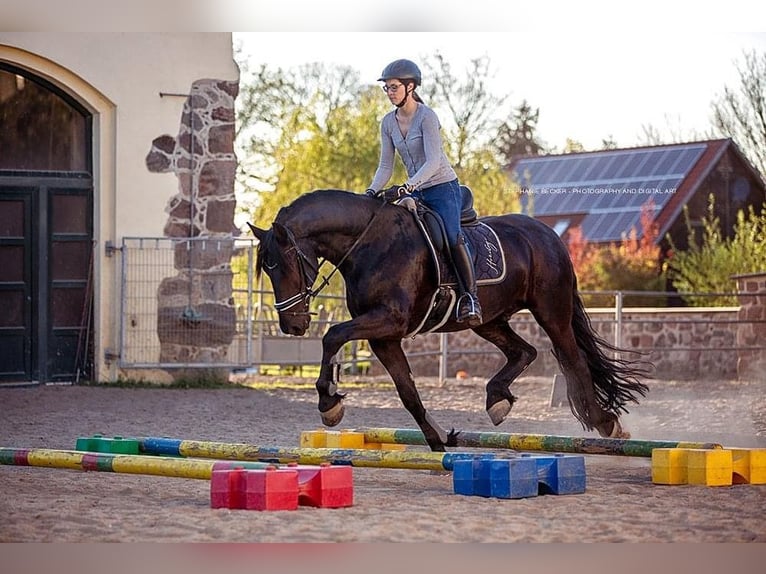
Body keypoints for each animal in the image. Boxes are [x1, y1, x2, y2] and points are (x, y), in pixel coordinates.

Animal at [248, 189, 649, 452]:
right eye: (267, 269)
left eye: (285, 264)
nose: (292, 326)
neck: (368, 243)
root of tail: (549, 235)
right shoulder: (383, 337)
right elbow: (408, 393)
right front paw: (439, 440)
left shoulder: (389, 321)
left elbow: (332, 335)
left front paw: (329, 403)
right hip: (488, 320)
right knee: (524, 352)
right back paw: (497, 400)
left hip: (552, 312)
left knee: (573, 360)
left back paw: (606, 423)